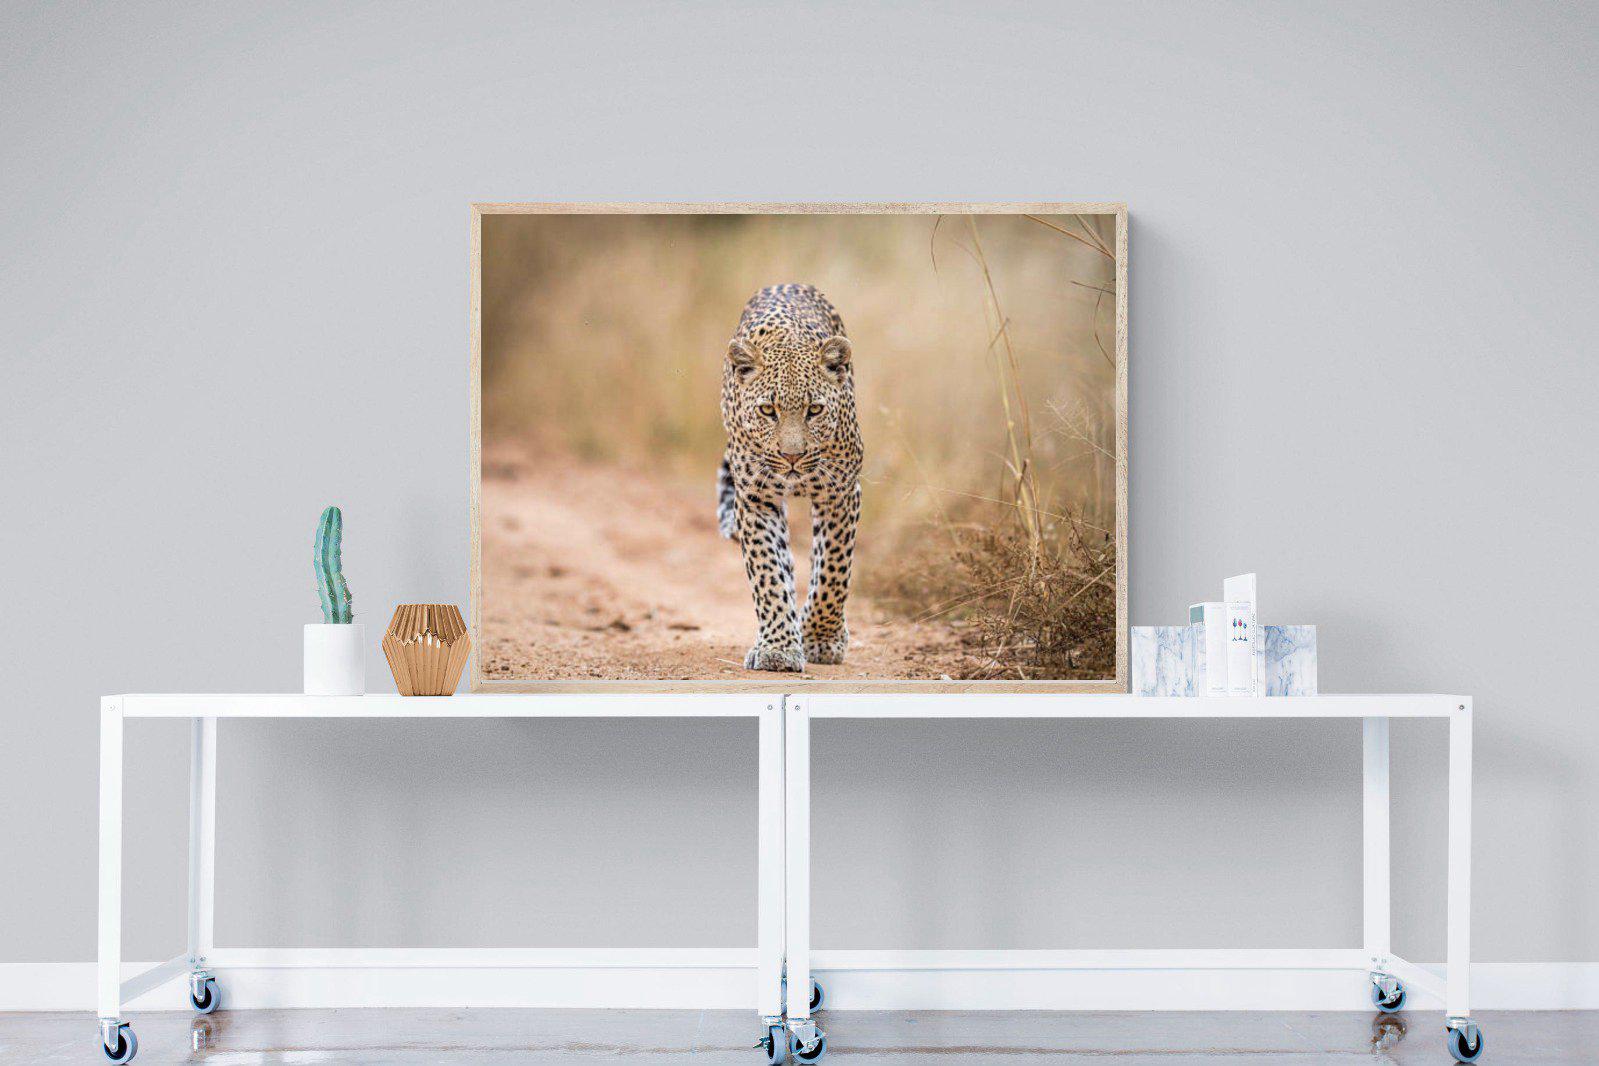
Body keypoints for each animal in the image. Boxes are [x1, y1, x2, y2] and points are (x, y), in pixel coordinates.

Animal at [717, 284, 863, 673]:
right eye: (769, 410)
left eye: (815, 410)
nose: (792, 456)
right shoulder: (755, 498)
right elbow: (768, 572)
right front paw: (778, 648)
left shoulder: (841, 492)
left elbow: (833, 571)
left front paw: (822, 639)